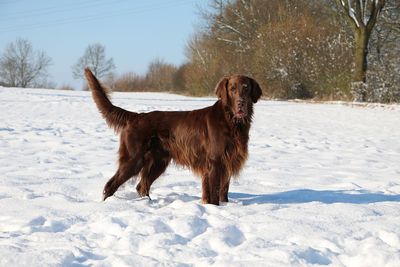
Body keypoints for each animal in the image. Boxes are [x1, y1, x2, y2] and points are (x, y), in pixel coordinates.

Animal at [84, 68, 260, 205]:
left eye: (246, 88)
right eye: (232, 89)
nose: (241, 103)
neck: (231, 121)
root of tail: (136, 117)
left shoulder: (228, 160)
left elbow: (223, 190)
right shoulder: (215, 162)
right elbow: (215, 192)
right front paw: (215, 208)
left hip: (158, 161)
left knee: (142, 186)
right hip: (134, 159)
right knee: (111, 185)